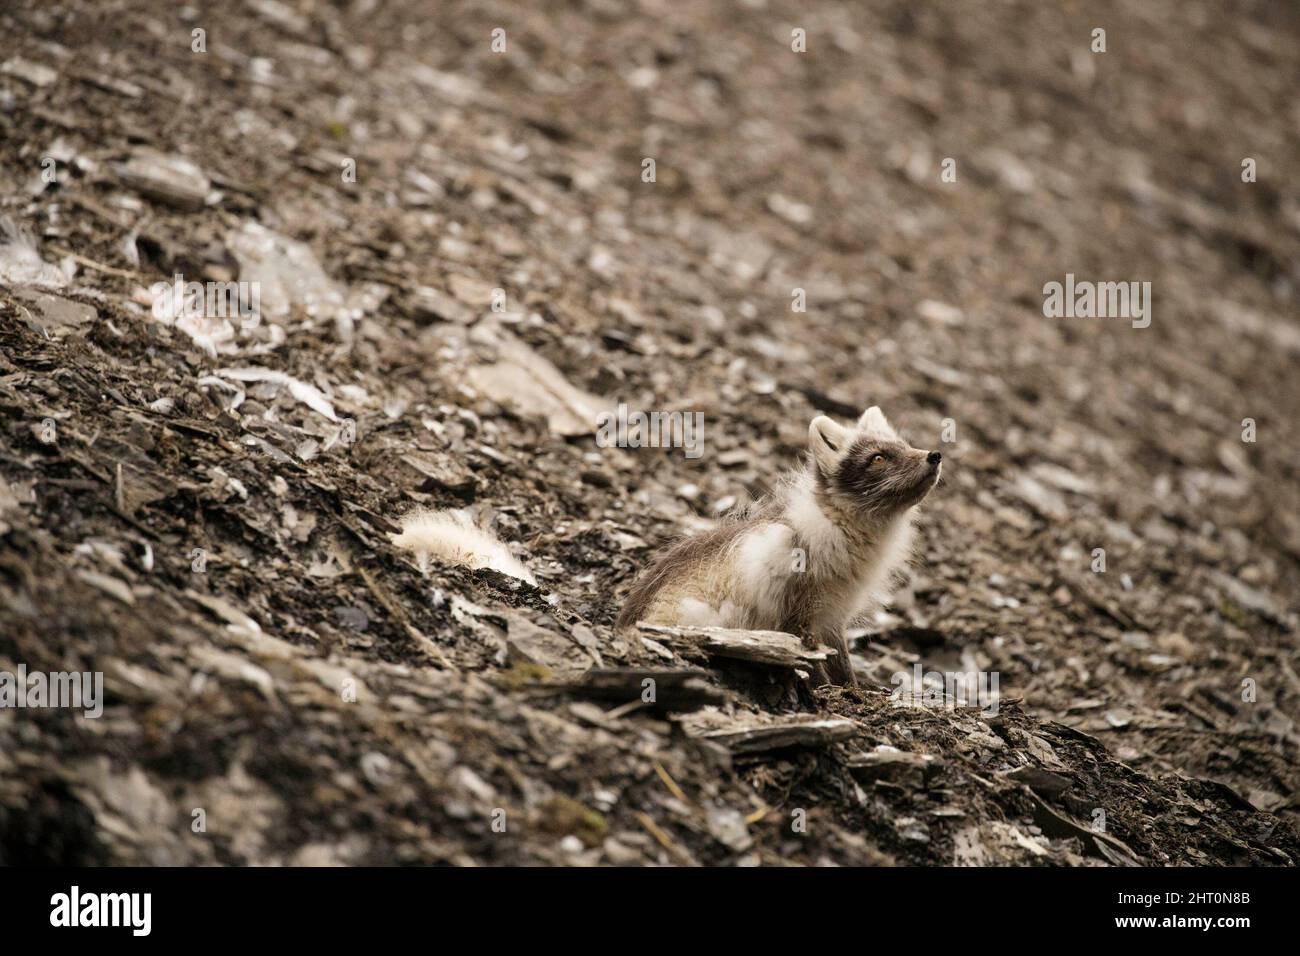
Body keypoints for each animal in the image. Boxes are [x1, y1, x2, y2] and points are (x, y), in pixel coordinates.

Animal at [615, 406, 942, 686]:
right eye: (878, 458)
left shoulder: (832, 617)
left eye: (904, 445)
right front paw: (830, 693)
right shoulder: (794, 611)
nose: (935, 455)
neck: (836, 524)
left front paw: (854, 691)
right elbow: (813, 661)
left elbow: (843, 663)